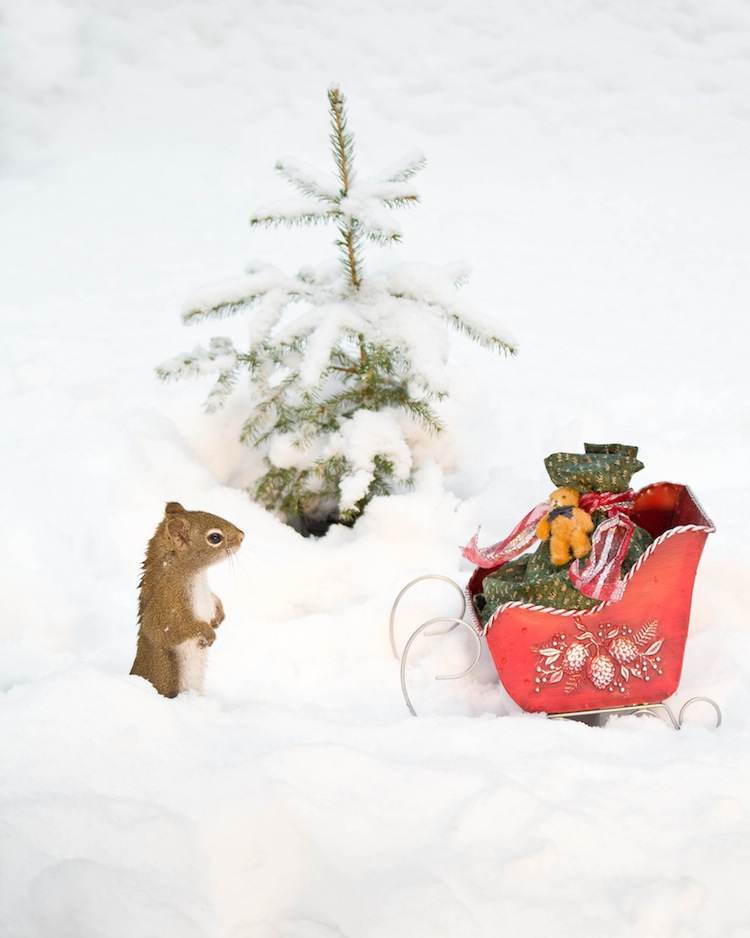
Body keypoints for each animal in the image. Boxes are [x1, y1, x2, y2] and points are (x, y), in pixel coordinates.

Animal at [131, 504, 245, 696]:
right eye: (215, 537)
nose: (242, 536)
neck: (197, 574)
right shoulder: (167, 604)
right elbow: (175, 629)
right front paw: (208, 632)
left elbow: (215, 599)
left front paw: (219, 615)